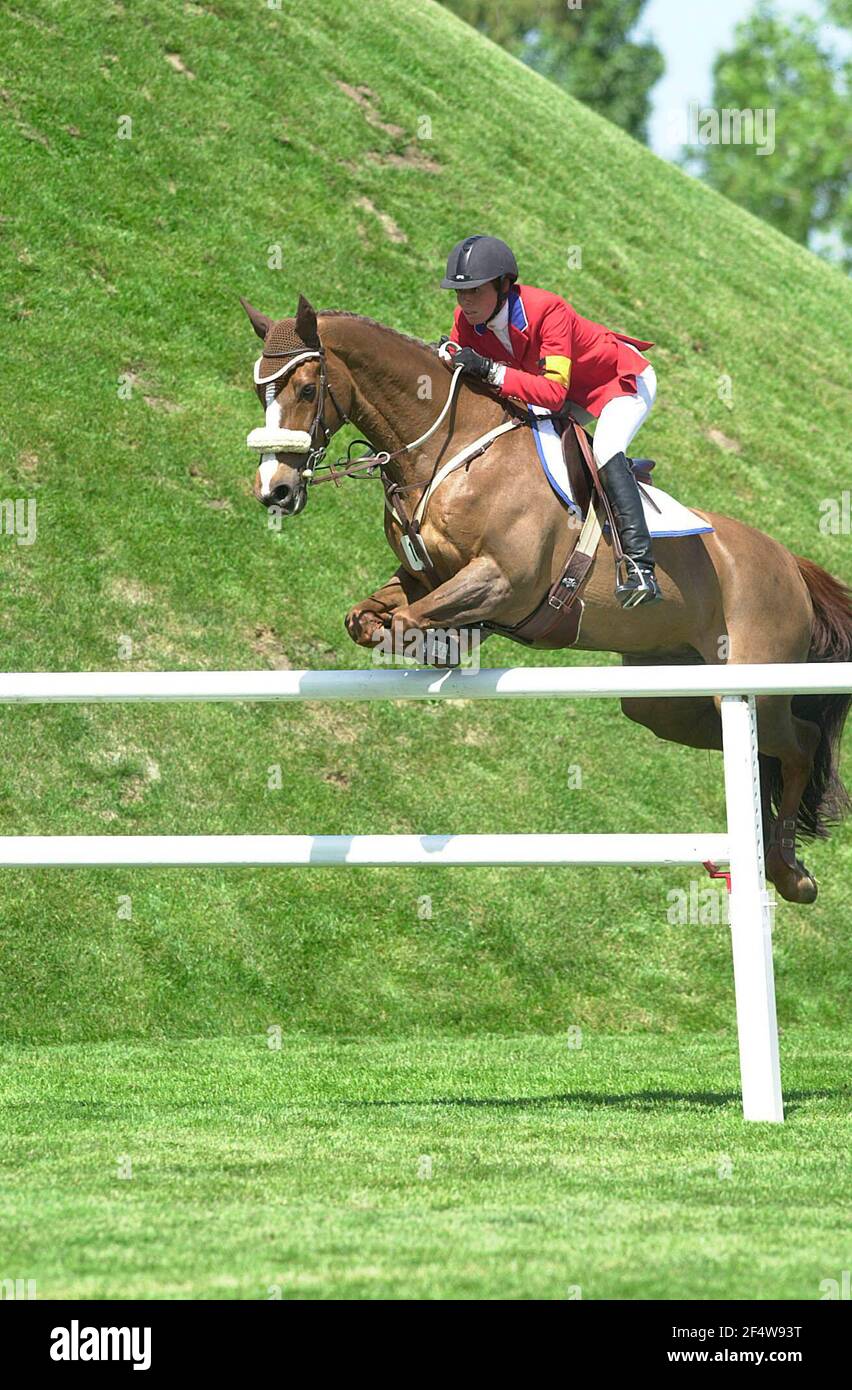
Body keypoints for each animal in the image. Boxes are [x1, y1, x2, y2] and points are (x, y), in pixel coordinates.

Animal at [239, 293, 850, 906]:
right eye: (260, 389)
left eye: (307, 390)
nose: (274, 491)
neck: (448, 451)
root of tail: (792, 566)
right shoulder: (426, 574)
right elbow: (366, 619)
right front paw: (439, 644)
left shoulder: (502, 580)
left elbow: (409, 620)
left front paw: (444, 646)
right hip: (667, 699)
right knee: (756, 749)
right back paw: (775, 856)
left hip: (752, 683)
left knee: (800, 742)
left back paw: (790, 873)